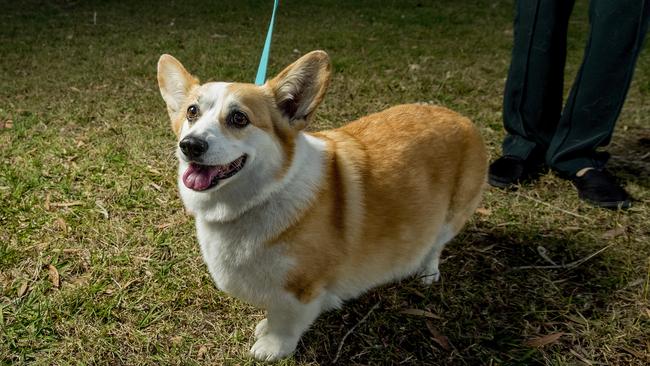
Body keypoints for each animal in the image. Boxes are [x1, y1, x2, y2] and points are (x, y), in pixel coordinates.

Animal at [154, 50, 484, 360]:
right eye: (192, 111)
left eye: (239, 118)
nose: (190, 145)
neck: (264, 194)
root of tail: (461, 118)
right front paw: (265, 327)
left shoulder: (301, 289)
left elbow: (286, 322)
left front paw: (272, 346)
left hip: (451, 217)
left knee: (435, 245)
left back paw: (427, 271)